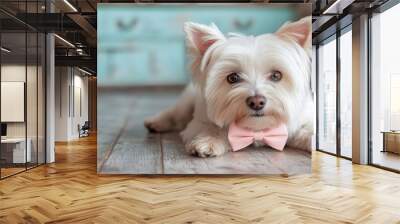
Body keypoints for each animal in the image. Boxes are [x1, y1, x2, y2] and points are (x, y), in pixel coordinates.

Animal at [145, 17, 314, 158]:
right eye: (233, 78)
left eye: (276, 75)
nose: (256, 102)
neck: (257, 129)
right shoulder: (199, 122)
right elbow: (215, 129)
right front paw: (208, 142)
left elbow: (307, 130)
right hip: (188, 100)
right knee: (175, 113)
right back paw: (155, 122)